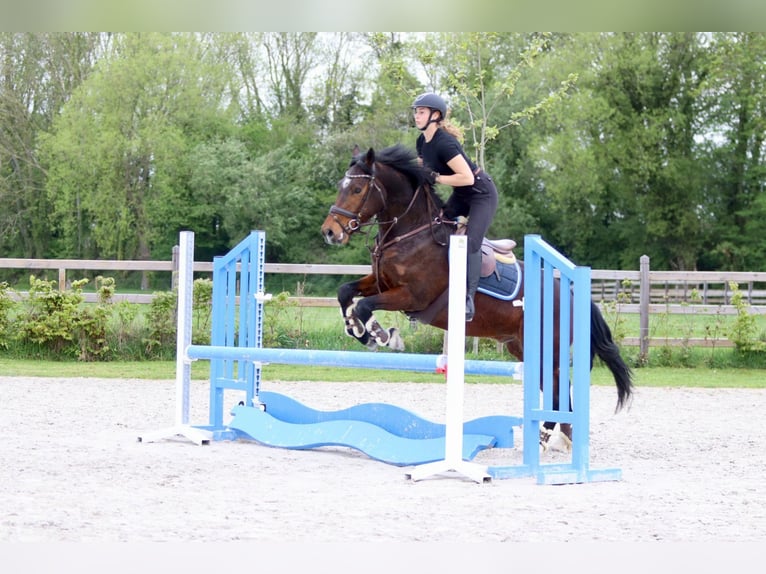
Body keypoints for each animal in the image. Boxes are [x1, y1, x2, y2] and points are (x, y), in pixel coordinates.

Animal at [320, 144, 633, 447]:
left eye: (357, 189)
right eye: (339, 186)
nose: (329, 232)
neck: (411, 234)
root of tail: (570, 291)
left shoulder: (413, 296)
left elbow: (365, 306)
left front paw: (382, 336)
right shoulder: (381, 282)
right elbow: (345, 293)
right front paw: (356, 331)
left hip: (547, 347)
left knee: (558, 387)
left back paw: (547, 436)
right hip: (522, 347)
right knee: (557, 387)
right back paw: (560, 439)